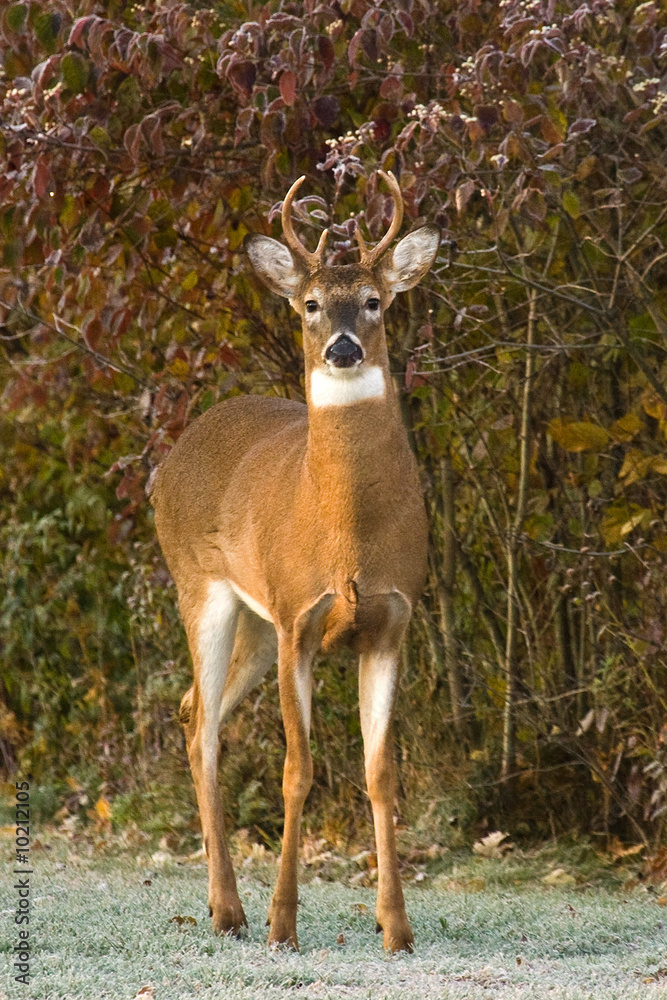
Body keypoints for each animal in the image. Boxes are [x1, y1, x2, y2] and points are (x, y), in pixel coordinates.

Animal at [151, 171, 440, 953]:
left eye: (373, 300)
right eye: (310, 304)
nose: (341, 348)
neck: (347, 535)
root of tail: (171, 459)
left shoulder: (391, 624)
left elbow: (380, 774)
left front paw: (395, 927)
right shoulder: (297, 621)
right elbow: (297, 769)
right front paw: (283, 923)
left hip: (253, 624)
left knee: (192, 710)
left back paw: (223, 904)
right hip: (204, 589)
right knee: (203, 725)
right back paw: (231, 911)